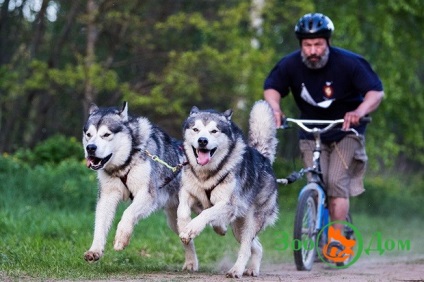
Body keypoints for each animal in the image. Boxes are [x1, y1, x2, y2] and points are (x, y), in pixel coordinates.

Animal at [83, 102, 199, 270]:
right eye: (88, 134)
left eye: (106, 134)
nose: (90, 148)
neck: (127, 161)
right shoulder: (107, 196)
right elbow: (99, 225)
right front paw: (95, 250)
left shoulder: (147, 194)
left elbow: (127, 213)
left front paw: (121, 238)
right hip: (176, 220)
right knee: (187, 237)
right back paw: (191, 263)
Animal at [177, 99, 280, 278]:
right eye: (196, 129)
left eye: (214, 131)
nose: (202, 140)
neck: (206, 175)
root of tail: (264, 159)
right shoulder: (188, 192)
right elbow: (182, 211)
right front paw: (185, 228)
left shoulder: (228, 204)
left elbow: (206, 213)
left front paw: (191, 229)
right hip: (238, 229)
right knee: (256, 246)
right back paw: (252, 268)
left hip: (251, 222)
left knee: (246, 248)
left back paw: (236, 270)